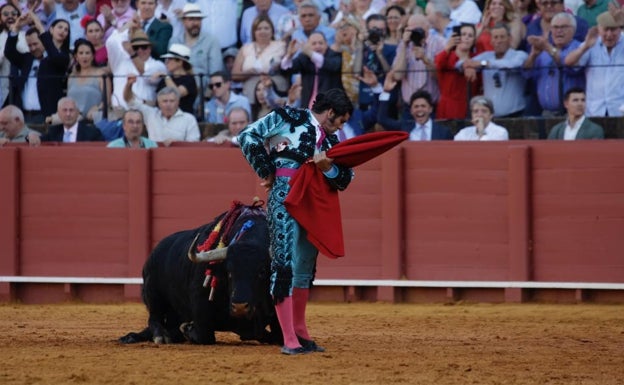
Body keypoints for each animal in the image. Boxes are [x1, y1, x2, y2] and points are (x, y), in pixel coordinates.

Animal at [119, 202, 282, 344]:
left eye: (262, 271)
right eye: (229, 272)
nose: (240, 307)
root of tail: (155, 251)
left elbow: (276, 335)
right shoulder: (200, 304)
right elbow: (205, 335)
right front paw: (187, 329)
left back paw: (132, 337)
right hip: (152, 292)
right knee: (154, 318)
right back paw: (160, 336)